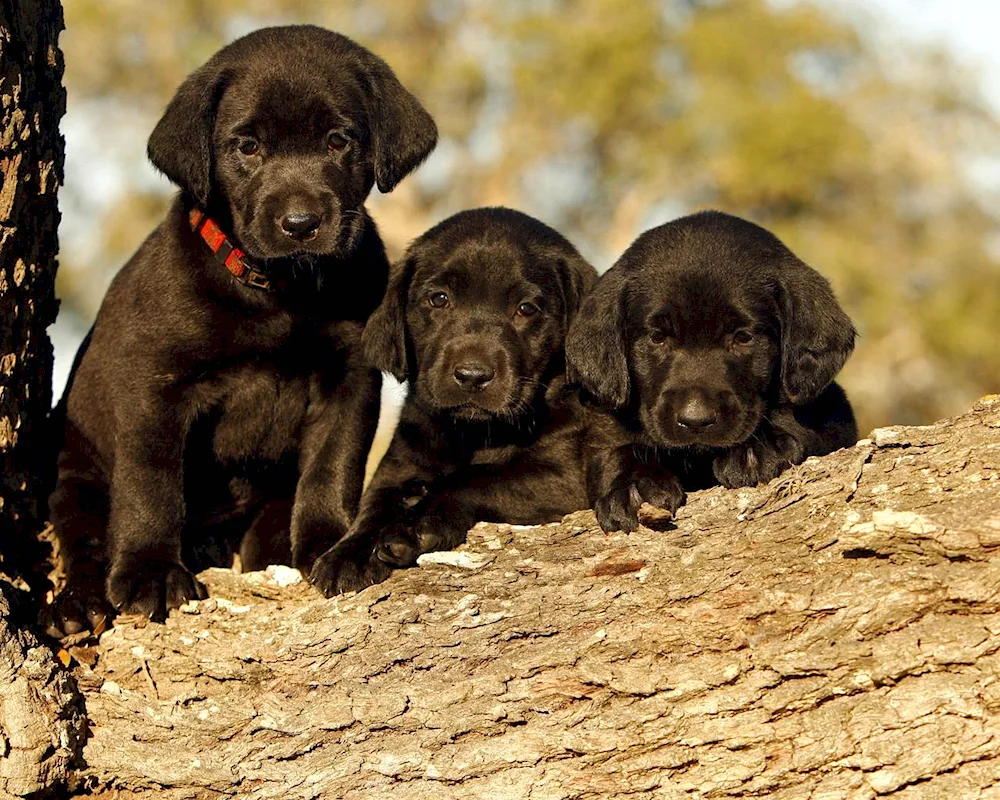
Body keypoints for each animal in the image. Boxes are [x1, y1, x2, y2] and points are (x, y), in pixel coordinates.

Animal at [46, 25, 438, 632]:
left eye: (338, 141)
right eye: (247, 147)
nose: (301, 224)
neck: (280, 291)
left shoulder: (349, 380)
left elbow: (333, 467)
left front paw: (331, 545)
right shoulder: (155, 385)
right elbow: (150, 484)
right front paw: (150, 572)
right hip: (76, 471)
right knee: (84, 538)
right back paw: (80, 603)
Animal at [308, 206, 596, 592]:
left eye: (526, 308)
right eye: (439, 299)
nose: (472, 375)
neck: (472, 434)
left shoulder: (566, 475)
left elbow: (472, 479)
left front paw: (414, 528)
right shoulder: (398, 465)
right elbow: (373, 505)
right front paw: (346, 554)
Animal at [568, 212, 856, 536]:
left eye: (743, 337)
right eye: (657, 337)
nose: (696, 421)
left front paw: (759, 448)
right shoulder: (603, 429)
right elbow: (615, 451)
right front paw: (633, 485)